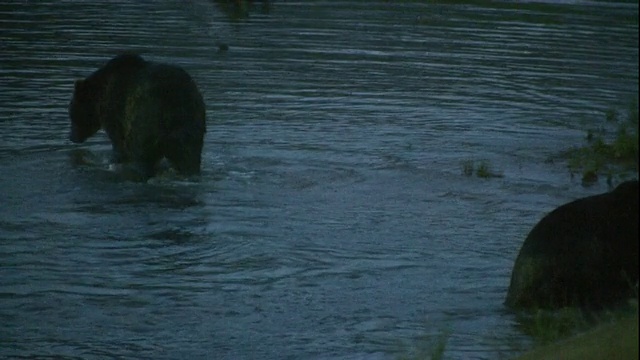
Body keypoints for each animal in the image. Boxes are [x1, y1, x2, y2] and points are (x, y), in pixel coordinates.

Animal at [69, 53, 206, 180]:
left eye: (71, 114)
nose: (71, 137)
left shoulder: (116, 110)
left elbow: (118, 142)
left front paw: (114, 159)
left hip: (146, 113)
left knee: (142, 148)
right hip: (191, 118)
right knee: (189, 153)